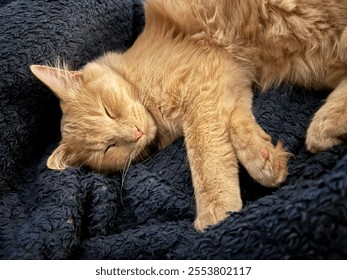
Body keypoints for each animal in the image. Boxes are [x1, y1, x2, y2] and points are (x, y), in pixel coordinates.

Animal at [29, 0, 347, 231]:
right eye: (109, 148)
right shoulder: (230, 83)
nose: (135, 133)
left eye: (108, 111)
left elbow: (205, 159)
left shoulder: (202, 88)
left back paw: (325, 125)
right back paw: (326, 127)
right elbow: (237, 130)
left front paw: (215, 214)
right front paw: (265, 161)